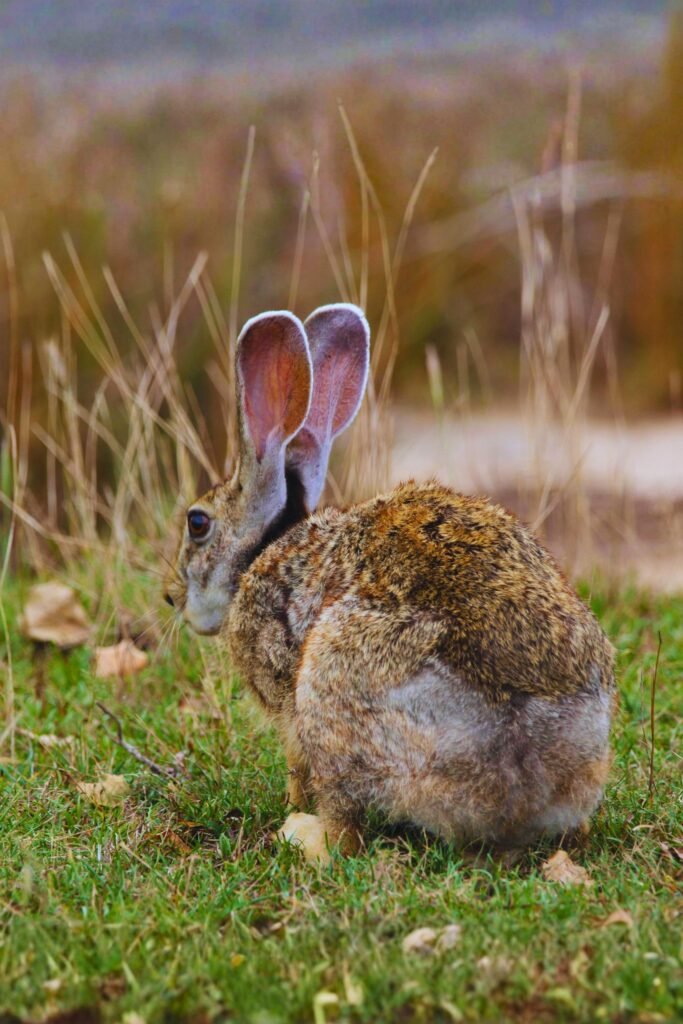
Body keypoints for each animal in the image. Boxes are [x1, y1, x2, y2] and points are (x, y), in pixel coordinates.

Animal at [166, 303, 616, 863]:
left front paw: (292, 804)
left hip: (333, 680)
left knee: (346, 823)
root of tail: (528, 769)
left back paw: (304, 835)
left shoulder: (286, 696)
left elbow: (295, 762)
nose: (172, 598)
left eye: (197, 523)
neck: (263, 547)